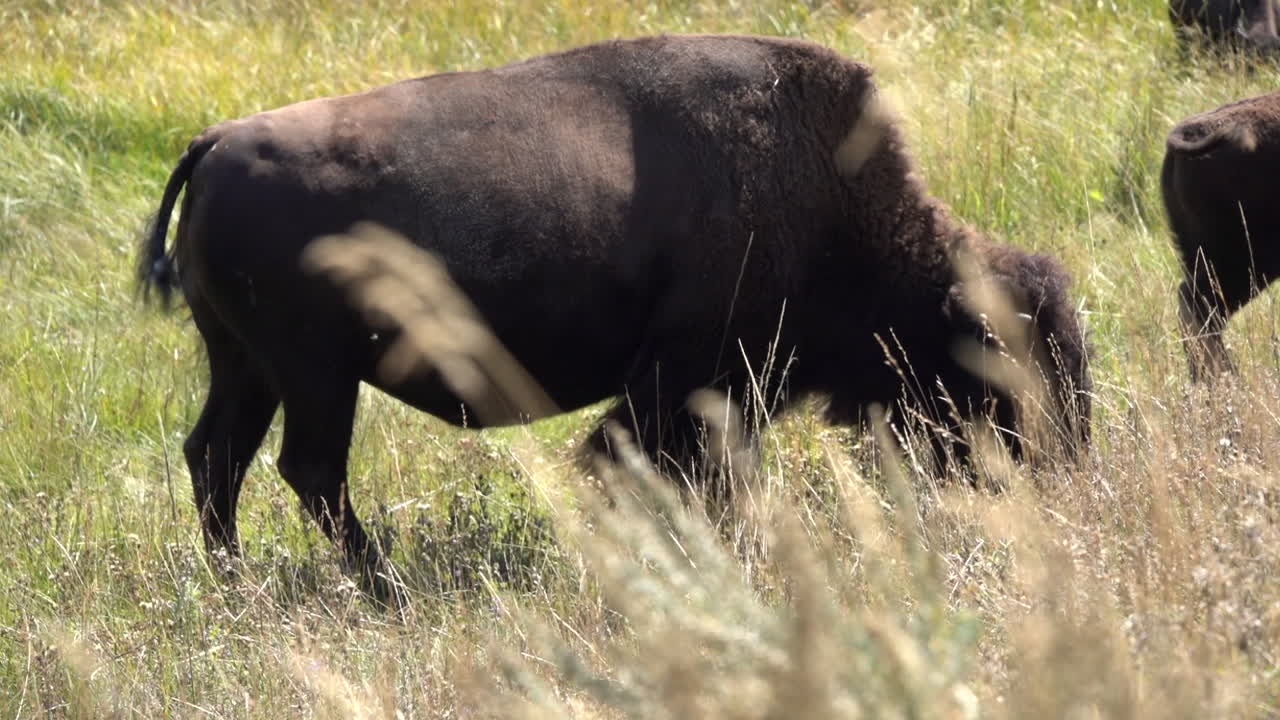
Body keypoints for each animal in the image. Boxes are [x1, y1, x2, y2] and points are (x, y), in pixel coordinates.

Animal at [137, 34, 1092, 597]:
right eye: (1003, 367)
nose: (1067, 474)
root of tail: (214, 143)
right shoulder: (685, 384)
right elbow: (657, 466)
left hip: (251, 368)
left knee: (219, 456)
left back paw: (238, 586)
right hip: (315, 375)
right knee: (307, 468)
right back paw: (381, 588)